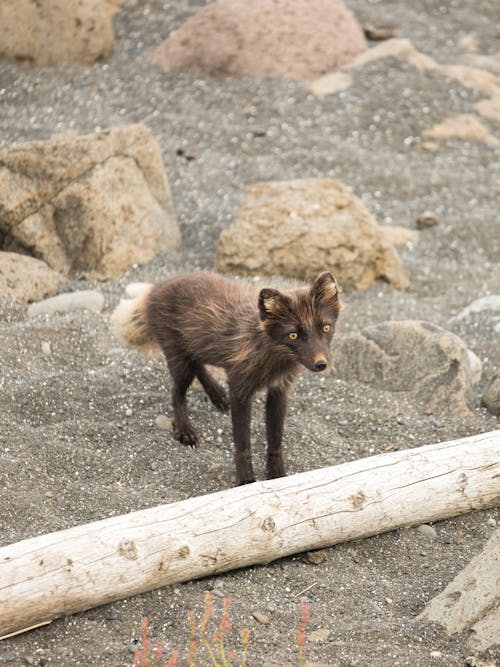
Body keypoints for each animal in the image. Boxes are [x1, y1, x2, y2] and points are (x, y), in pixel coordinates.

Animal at [112, 270, 342, 486]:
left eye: (326, 327)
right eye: (293, 335)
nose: (321, 364)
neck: (272, 355)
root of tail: (154, 289)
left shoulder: (279, 390)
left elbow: (275, 440)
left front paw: (277, 476)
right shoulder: (240, 390)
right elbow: (242, 443)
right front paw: (246, 481)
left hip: (197, 346)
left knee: (198, 365)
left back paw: (218, 396)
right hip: (179, 360)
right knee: (177, 392)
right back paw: (185, 431)